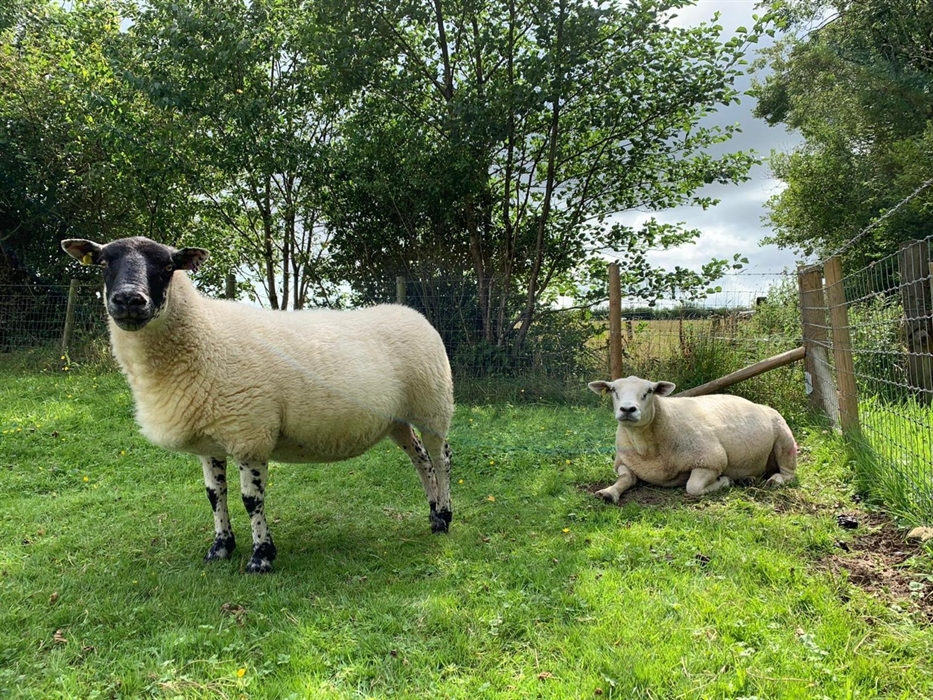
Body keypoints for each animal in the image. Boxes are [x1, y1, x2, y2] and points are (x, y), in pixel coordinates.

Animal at [61, 236, 454, 573]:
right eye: (103, 262)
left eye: (168, 265)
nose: (129, 301)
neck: (203, 335)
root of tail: (413, 313)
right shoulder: (211, 441)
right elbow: (214, 495)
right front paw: (220, 548)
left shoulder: (249, 433)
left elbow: (252, 500)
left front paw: (261, 557)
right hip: (397, 419)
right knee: (421, 461)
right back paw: (433, 515)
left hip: (433, 405)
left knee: (441, 459)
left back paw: (446, 516)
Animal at [587, 375, 796, 502]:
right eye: (614, 390)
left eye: (649, 391)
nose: (628, 409)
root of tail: (758, 404)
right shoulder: (623, 464)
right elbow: (625, 479)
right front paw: (609, 492)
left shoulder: (711, 460)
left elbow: (693, 487)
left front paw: (725, 481)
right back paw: (748, 480)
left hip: (785, 440)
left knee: (789, 472)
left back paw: (775, 480)